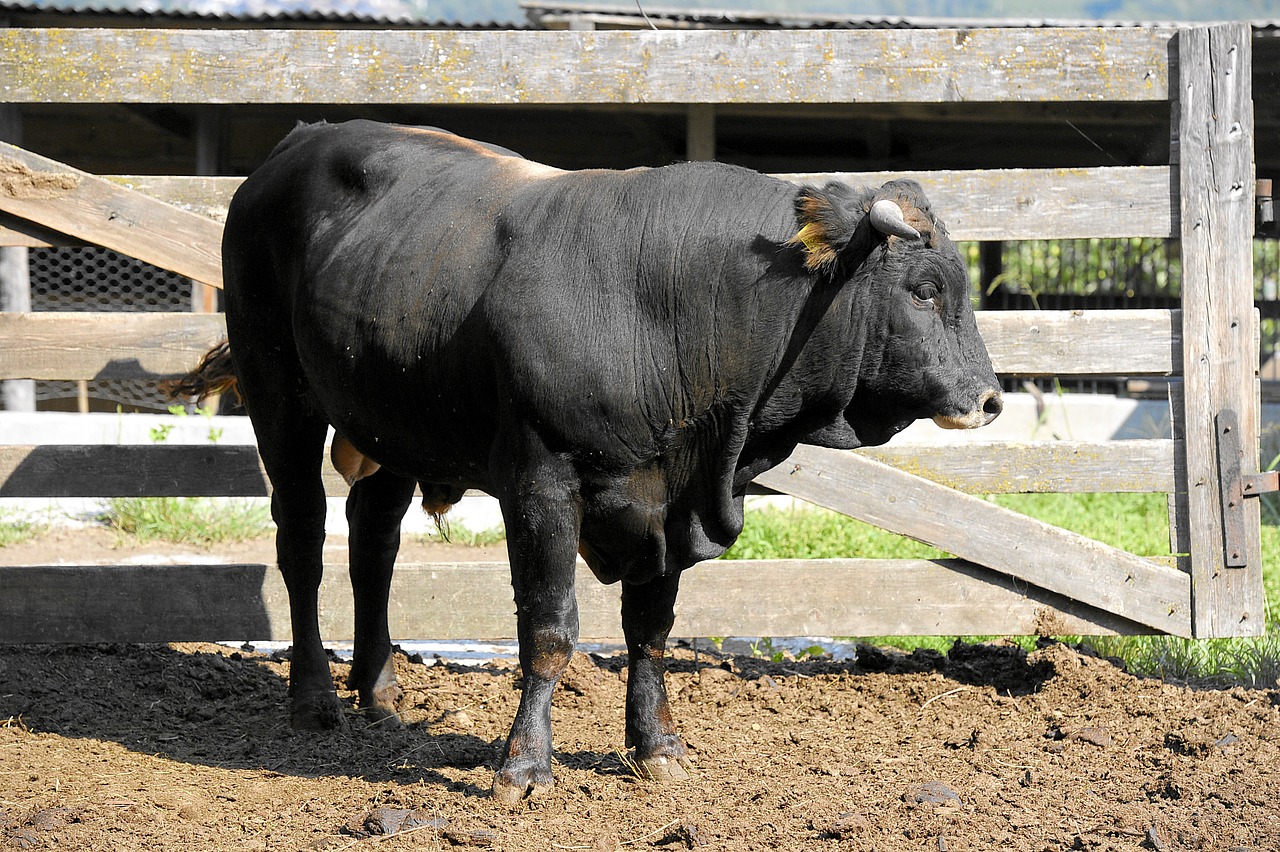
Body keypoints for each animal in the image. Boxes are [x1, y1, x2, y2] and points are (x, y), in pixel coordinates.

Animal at [178, 120, 1002, 804]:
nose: (990, 399)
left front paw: (656, 746)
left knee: (372, 540)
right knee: (302, 540)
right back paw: (314, 698)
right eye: (924, 291)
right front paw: (522, 766)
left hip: (393, 423)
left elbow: (651, 626)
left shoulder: (671, 500)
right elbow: (550, 631)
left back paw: (379, 691)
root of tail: (297, 142)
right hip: (278, 392)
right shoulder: (541, 482)